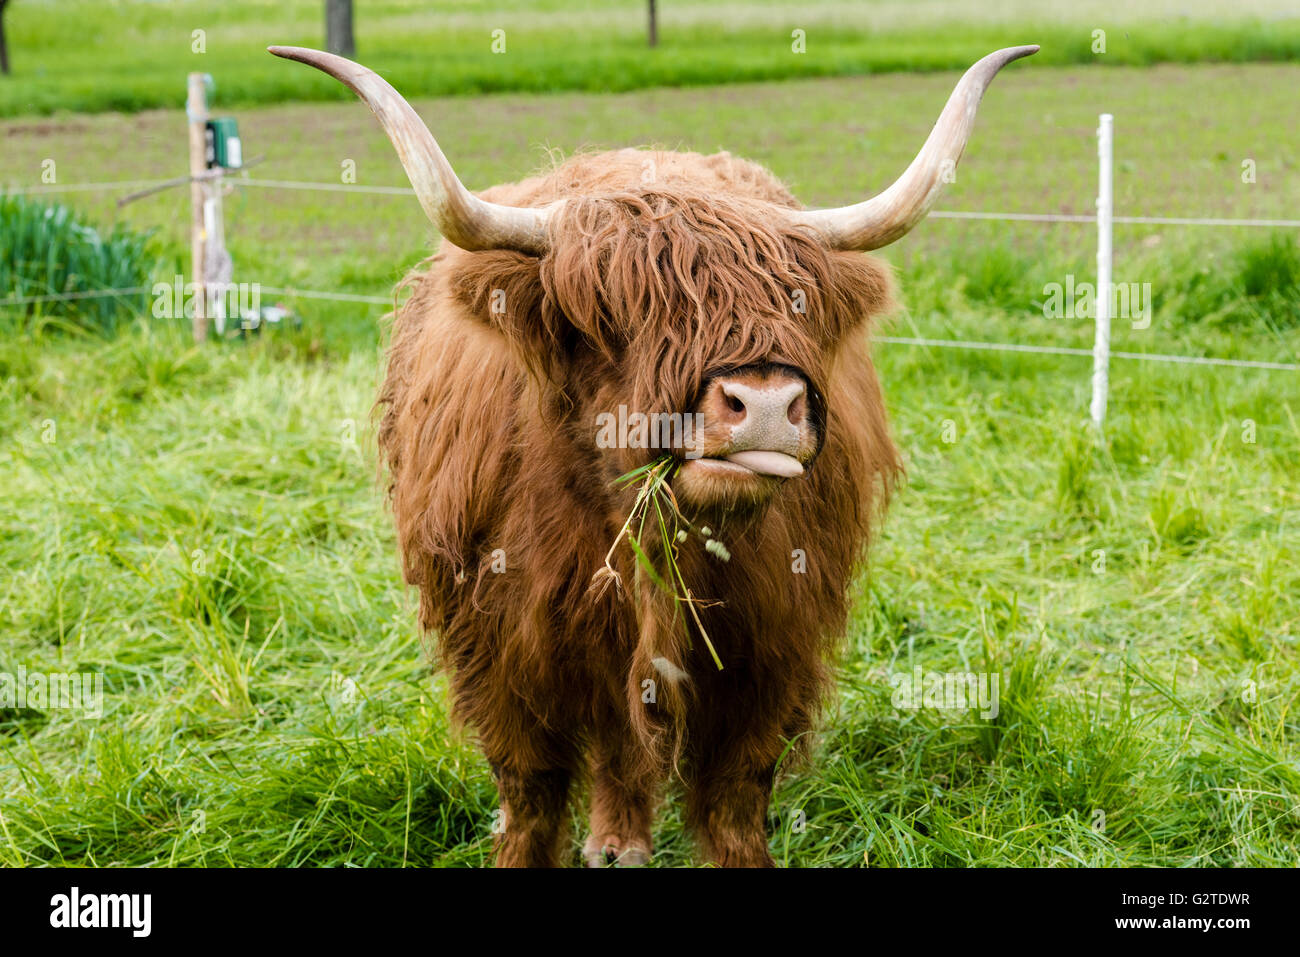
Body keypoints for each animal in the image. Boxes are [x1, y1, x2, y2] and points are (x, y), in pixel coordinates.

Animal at [270, 43, 1037, 867]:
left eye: (794, 302)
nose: (766, 403)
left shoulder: (771, 651)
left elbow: (735, 799)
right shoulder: (500, 649)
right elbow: (530, 794)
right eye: (614, 313)